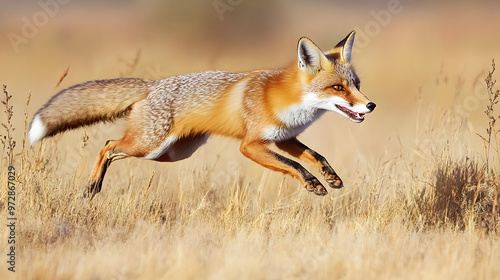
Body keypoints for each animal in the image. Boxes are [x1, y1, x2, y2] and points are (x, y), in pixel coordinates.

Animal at [29, 31, 376, 199]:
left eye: (357, 85)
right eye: (337, 88)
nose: (370, 106)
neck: (288, 102)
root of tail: (153, 85)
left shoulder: (283, 138)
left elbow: (315, 156)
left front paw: (329, 177)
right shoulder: (251, 145)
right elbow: (293, 165)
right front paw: (313, 184)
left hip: (169, 154)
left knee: (112, 148)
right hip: (148, 146)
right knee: (108, 145)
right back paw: (92, 187)